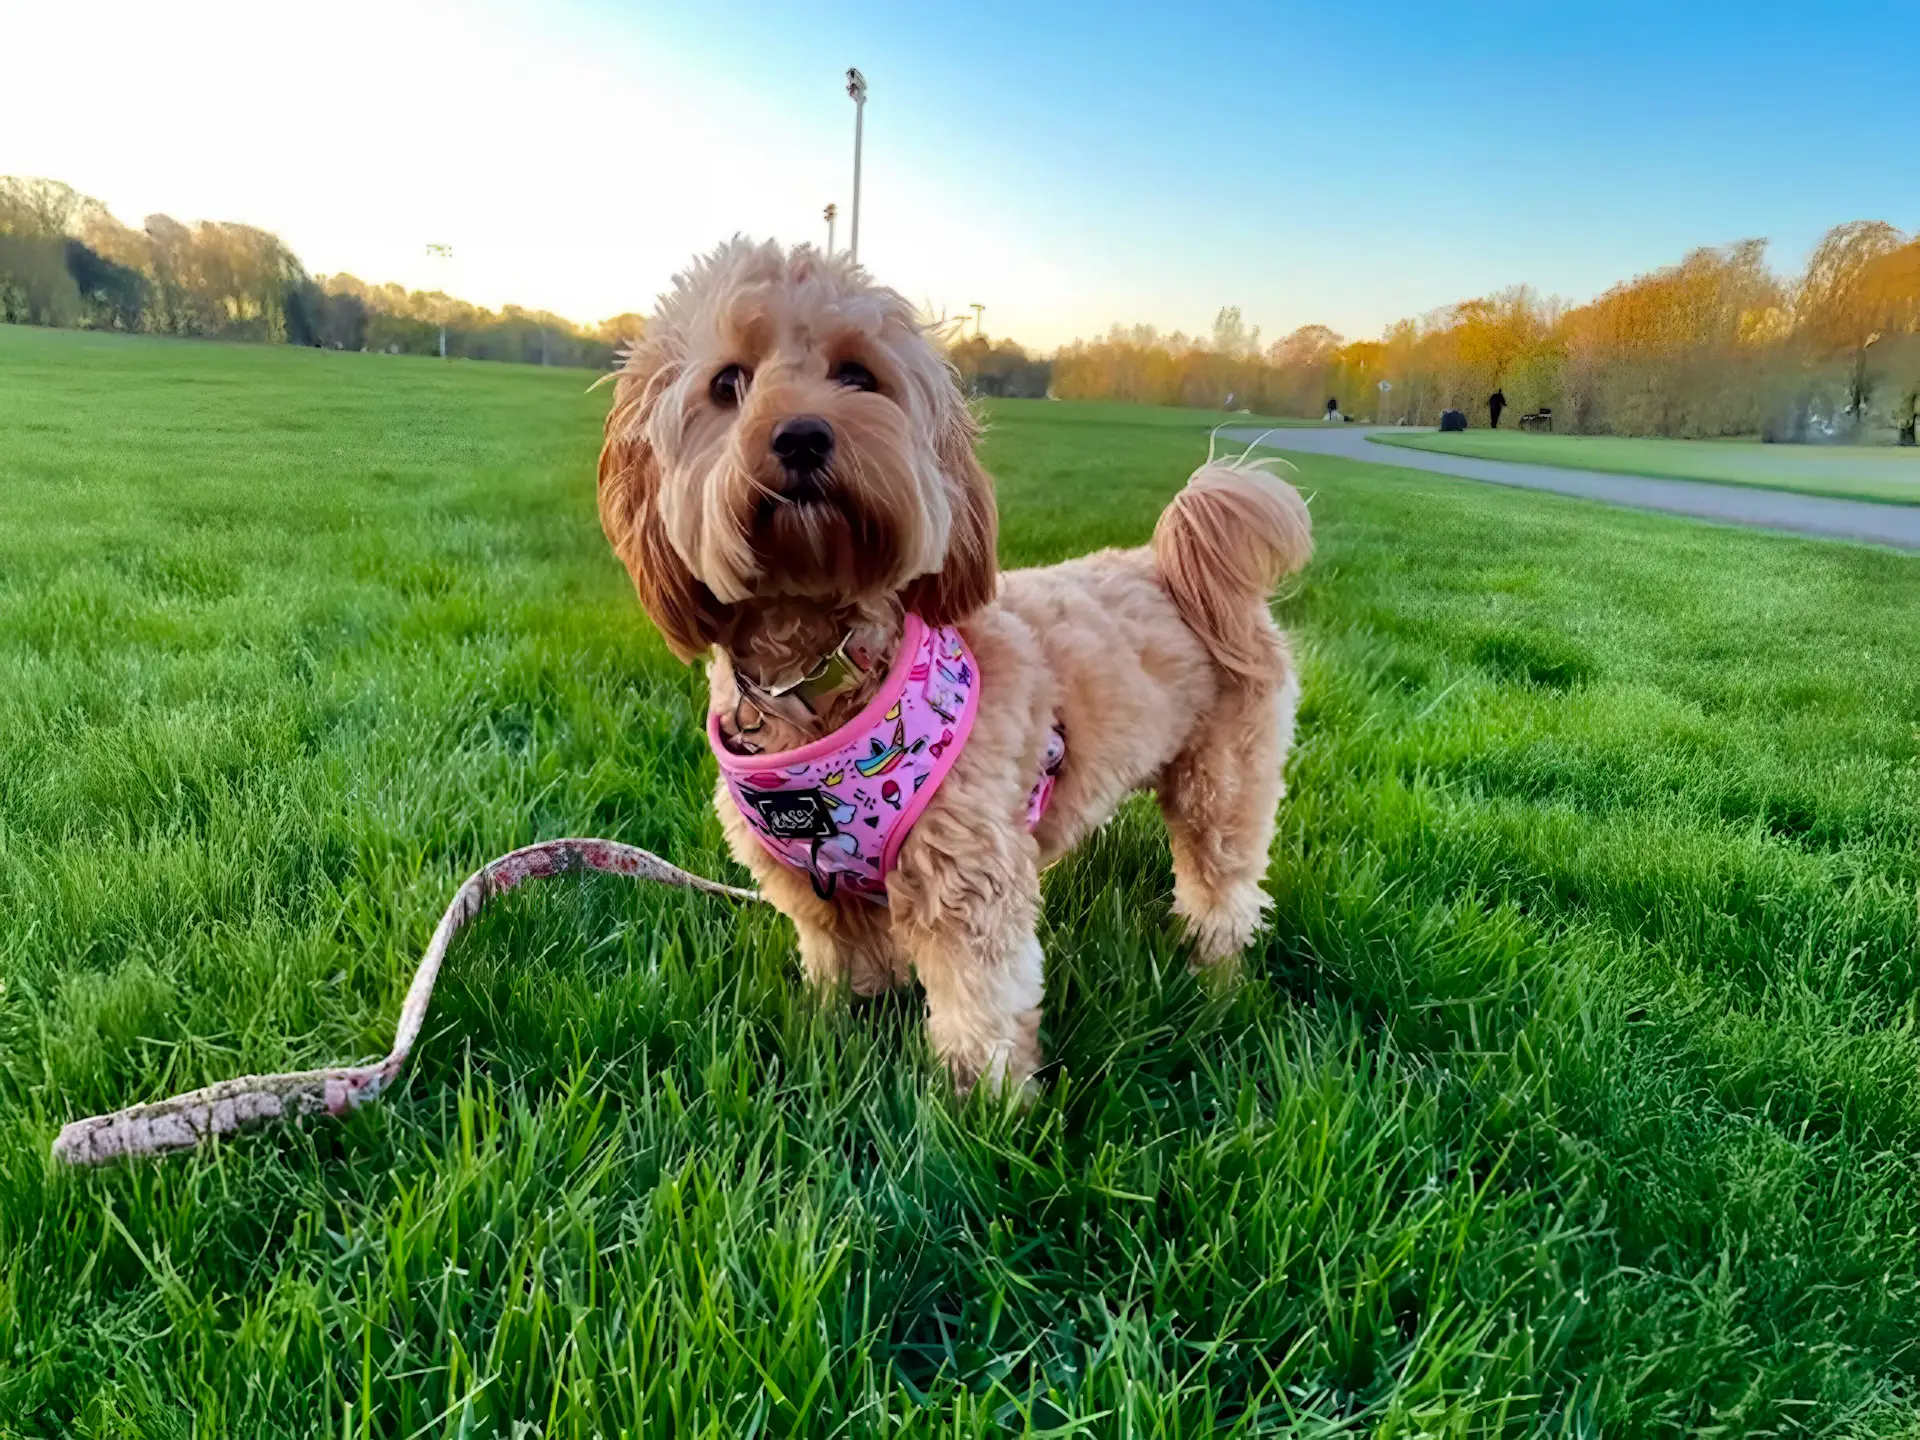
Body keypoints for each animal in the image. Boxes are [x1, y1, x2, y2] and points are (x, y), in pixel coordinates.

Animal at [599, 240, 1313, 1090]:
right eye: (726, 384)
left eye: (858, 376)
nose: (802, 435)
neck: (822, 669)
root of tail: (1182, 570)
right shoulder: (815, 887)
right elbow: (845, 968)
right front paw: (844, 1037)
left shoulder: (966, 874)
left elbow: (982, 1002)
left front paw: (981, 1103)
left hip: (1224, 782)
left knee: (1223, 888)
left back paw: (1217, 977)